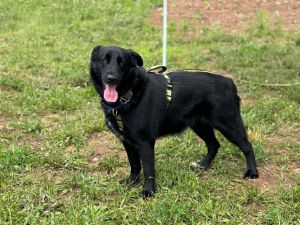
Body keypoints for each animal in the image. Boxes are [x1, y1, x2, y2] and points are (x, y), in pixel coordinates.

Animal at [90, 45, 258, 197]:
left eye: (122, 62)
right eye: (104, 60)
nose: (111, 79)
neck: (129, 95)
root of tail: (229, 82)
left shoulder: (145, 142)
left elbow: (148, 169)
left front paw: (149, 191)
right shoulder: (127, 141)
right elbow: (135, 165)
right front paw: (132, 182)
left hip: (228, 124)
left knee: (247, 146)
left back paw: (252, 172)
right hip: (200, 125)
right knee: (214, 145)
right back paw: (203, 165)